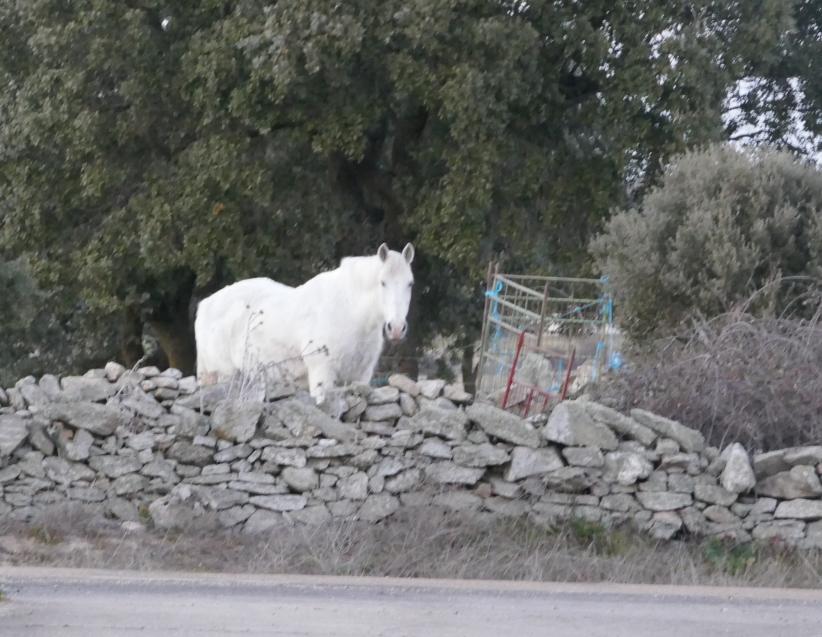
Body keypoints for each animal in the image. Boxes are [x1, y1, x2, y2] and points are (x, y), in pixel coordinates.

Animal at [194, 243, 415, 404]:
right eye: (382, 282)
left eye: (410, 283)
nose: (396, 328)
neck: (349, 310)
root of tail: (205, 304)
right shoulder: (321, 375)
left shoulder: (361, 377)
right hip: (223, 375)